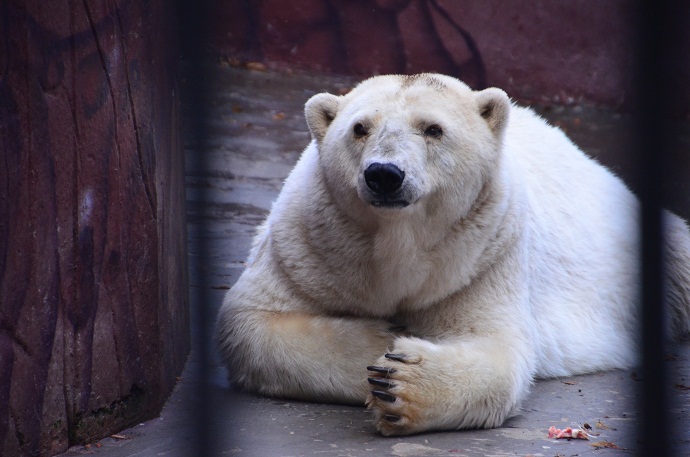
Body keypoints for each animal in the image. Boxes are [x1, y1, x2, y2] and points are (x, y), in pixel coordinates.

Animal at [215, 74, 688, 434]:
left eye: (433, 129)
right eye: (359, 128)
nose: (384, 175)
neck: (396, 239)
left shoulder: (483, 254)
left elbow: (496, 349)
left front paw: (399, 382)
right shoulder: (308, 245)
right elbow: (249, 324)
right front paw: (385, 338)